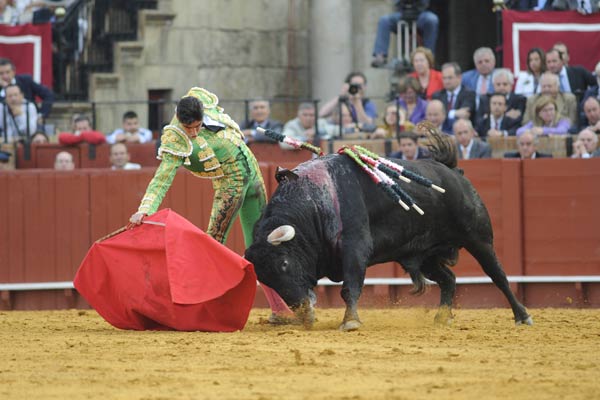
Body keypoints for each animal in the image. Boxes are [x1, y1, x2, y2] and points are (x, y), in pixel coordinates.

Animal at [246, 152, 532, 330]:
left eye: (284, 263)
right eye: (265, 279)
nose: (304, 312)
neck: (314, 202)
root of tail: (456, 173)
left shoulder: (355, 246)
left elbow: (350, 287)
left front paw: (350, 322)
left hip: (479, 239)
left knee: (498, 275)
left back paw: (523, 316)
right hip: (426, 254)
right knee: (448, 279)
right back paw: (441, 318)